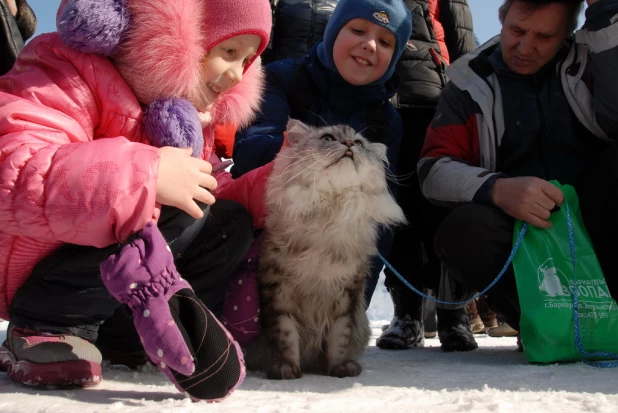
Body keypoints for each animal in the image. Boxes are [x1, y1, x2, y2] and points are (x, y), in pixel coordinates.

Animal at [243, 117, 406, 378]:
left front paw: (341, 368)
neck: (330, 210)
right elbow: (285, 336)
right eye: (328, 138)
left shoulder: (346, 294)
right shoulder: (278, 290)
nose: (349, 143)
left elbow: (339, 339)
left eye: (358, 142)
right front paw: (287, 368)